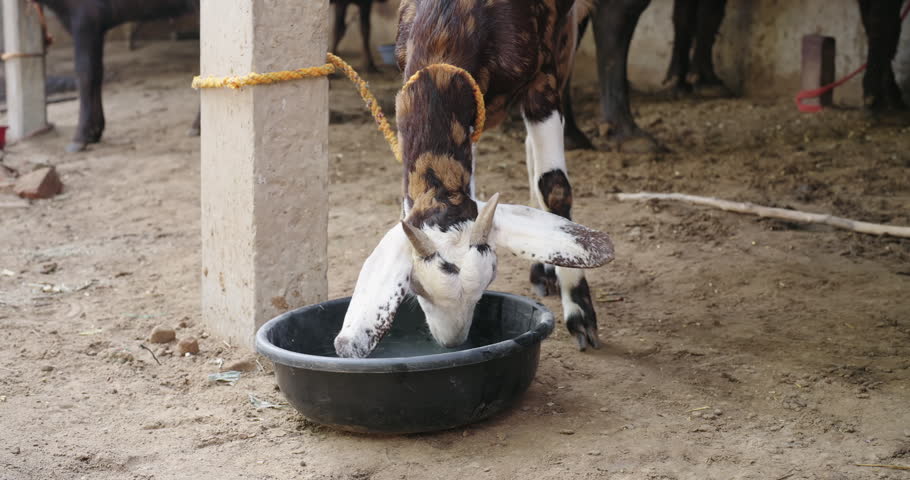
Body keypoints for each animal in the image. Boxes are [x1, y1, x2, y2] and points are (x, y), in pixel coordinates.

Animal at [334, 0, 614, 359]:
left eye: (490, 279)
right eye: (415, 287)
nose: (452, 343)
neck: (450, 20)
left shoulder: (543, 80)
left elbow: (554, 187)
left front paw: (580, 313)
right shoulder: (472, 115)